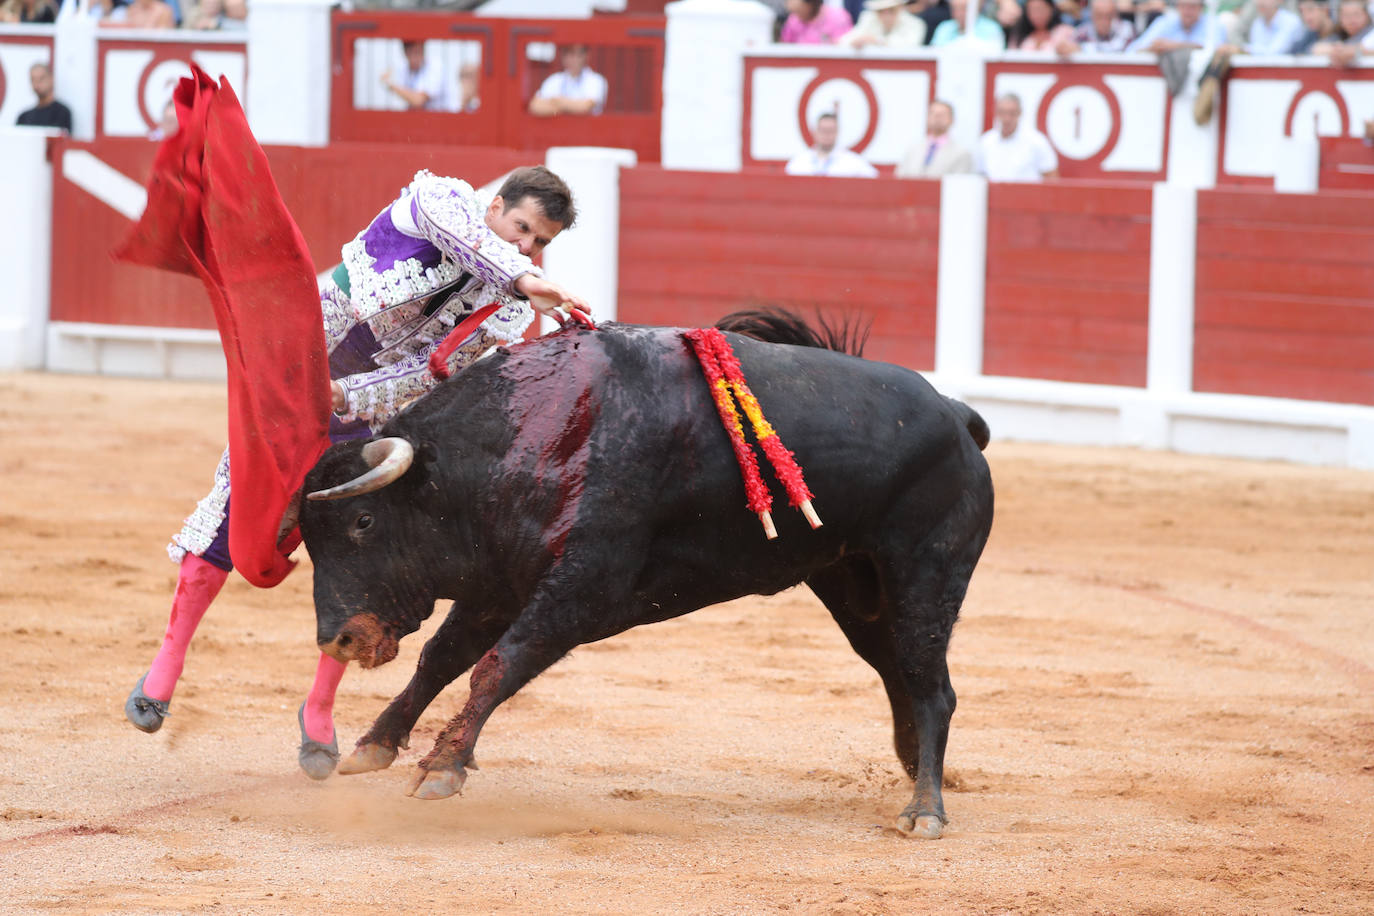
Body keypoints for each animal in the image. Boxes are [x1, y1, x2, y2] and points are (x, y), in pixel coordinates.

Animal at [300, 313, 994, 840]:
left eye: (363, 520)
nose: (338, 638)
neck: (530, 435)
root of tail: (956, 415)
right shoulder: (498, 584)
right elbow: (442, 659)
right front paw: (373, 746)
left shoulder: (580, 591)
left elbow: (498, 666)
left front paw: (442, 767)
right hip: (857, 589)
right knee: (902, 674)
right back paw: (913, 767)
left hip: (927, 575)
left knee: (932, 688)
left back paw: (925, 810)